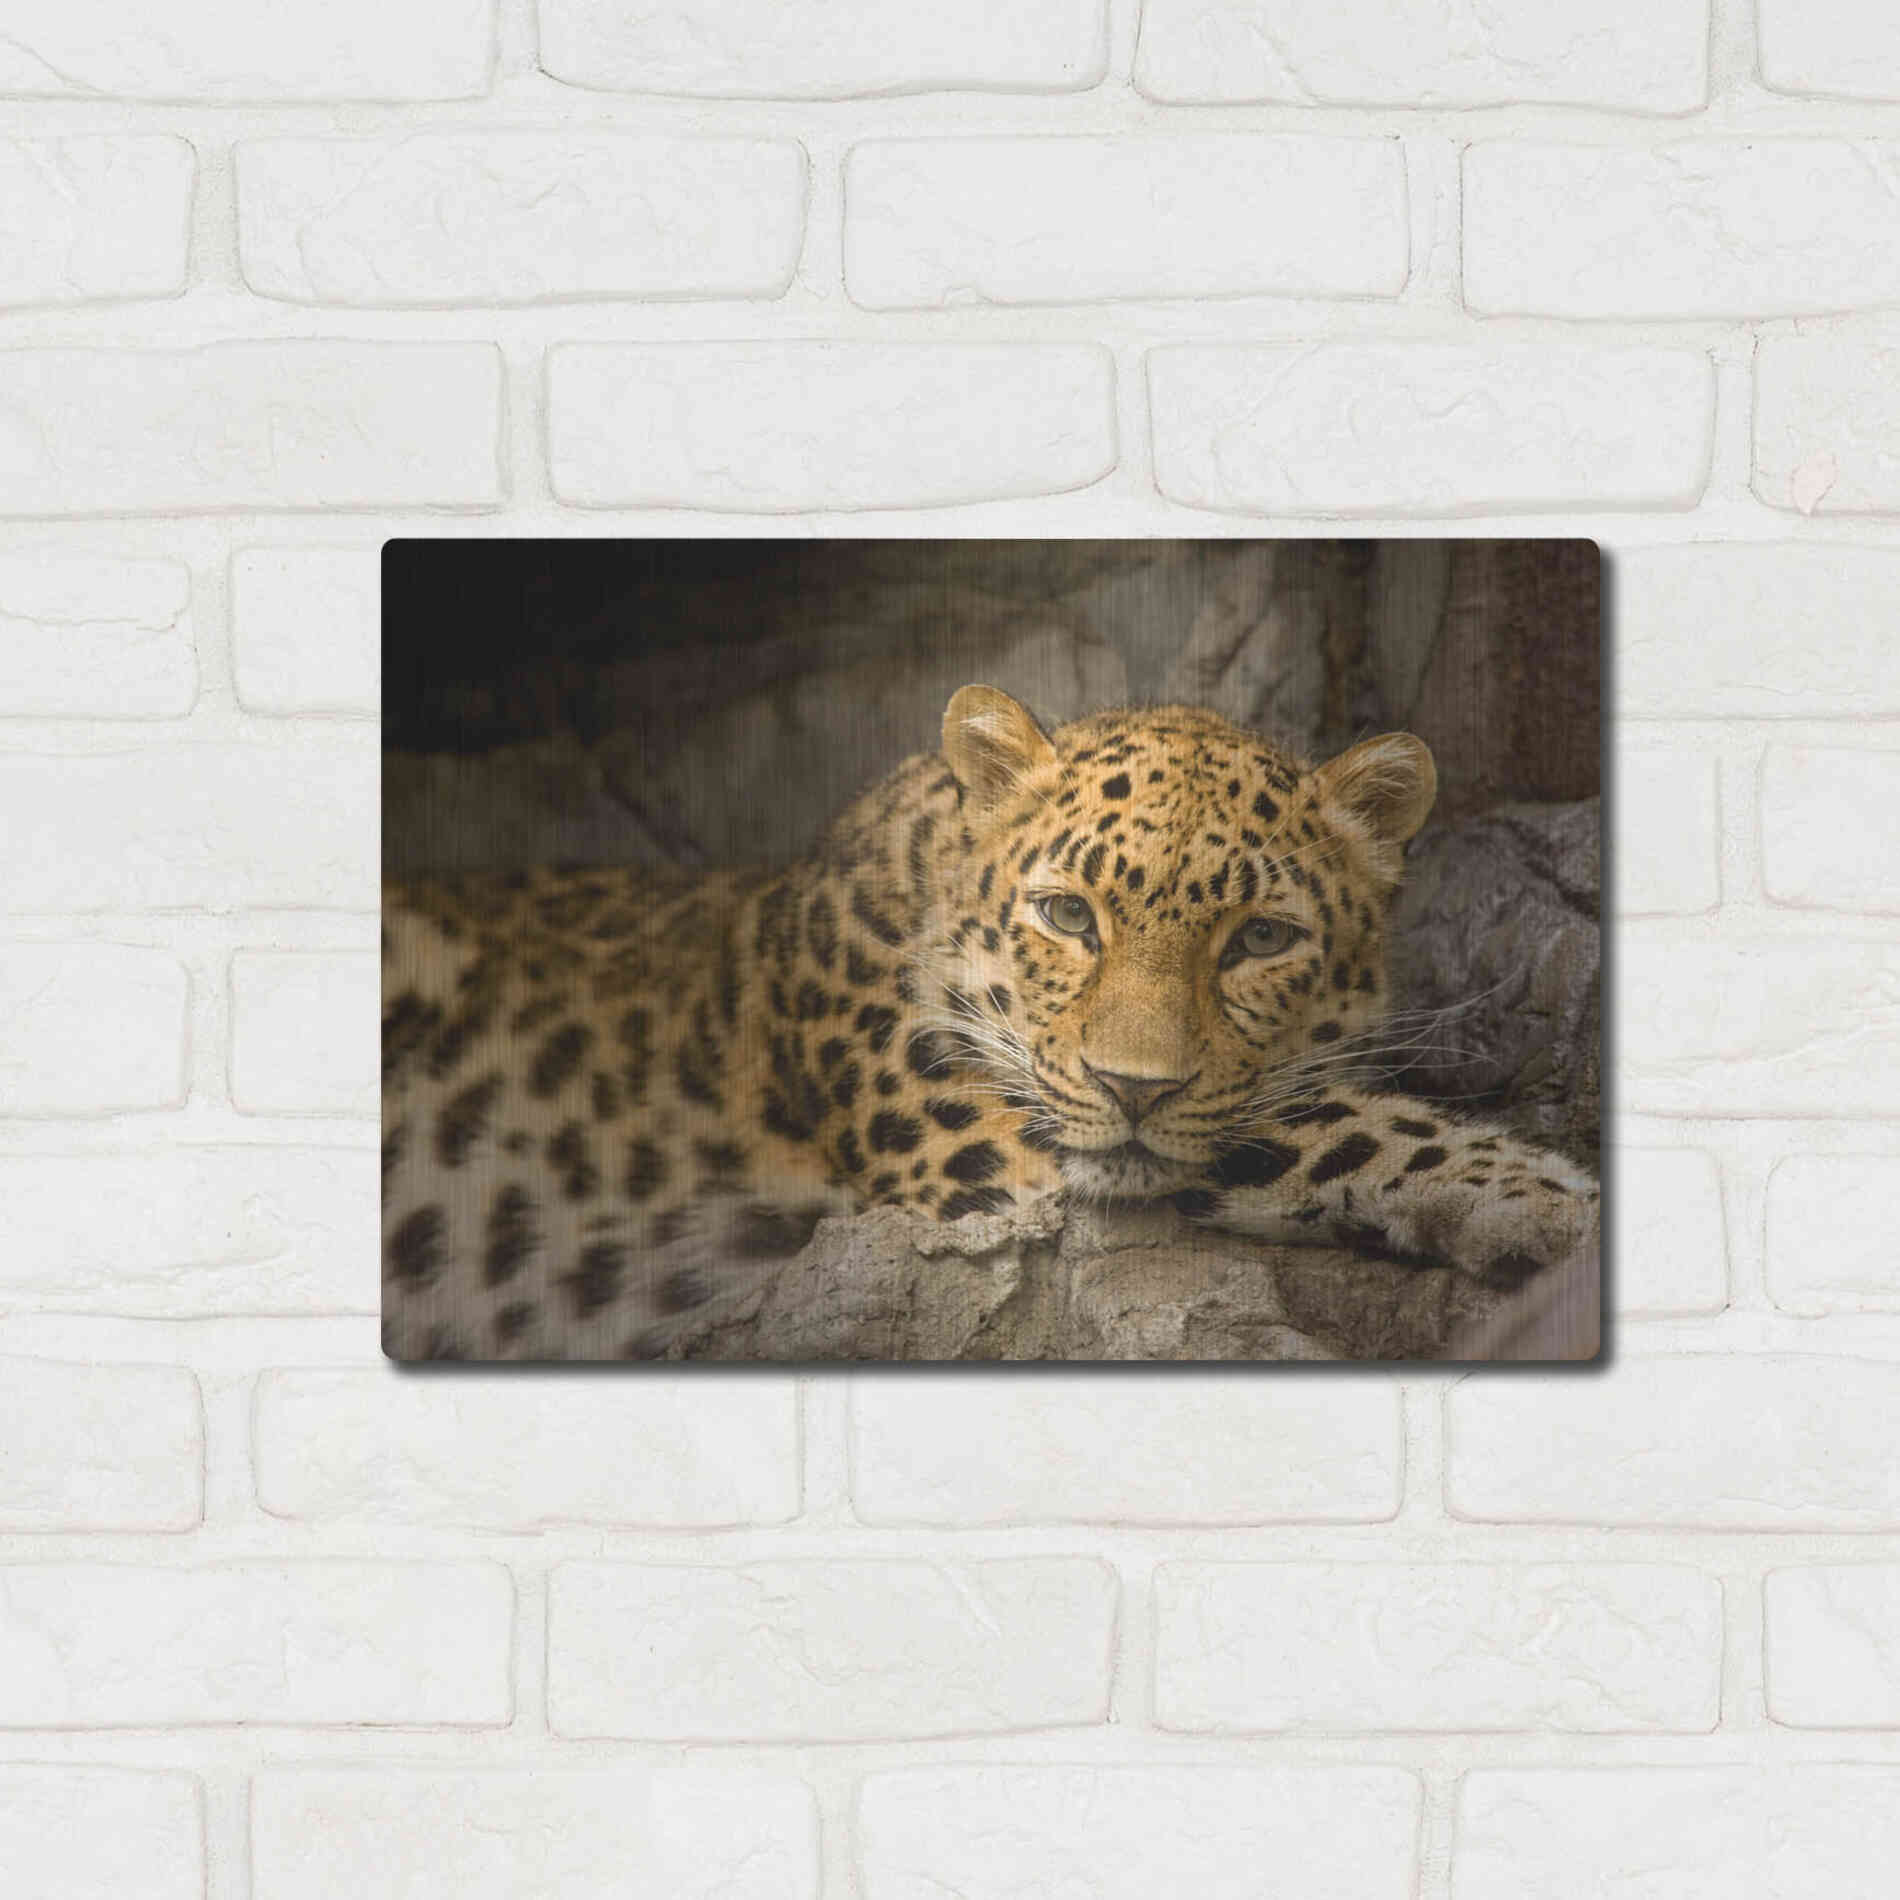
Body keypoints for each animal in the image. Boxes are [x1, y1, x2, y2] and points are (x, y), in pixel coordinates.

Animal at [381, 685, 1599, 1359]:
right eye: (1067, 915)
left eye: (1259, 939)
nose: (1134, 1086)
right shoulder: (990, 1149)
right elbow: (1326, 1123)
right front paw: (1546, 1198)